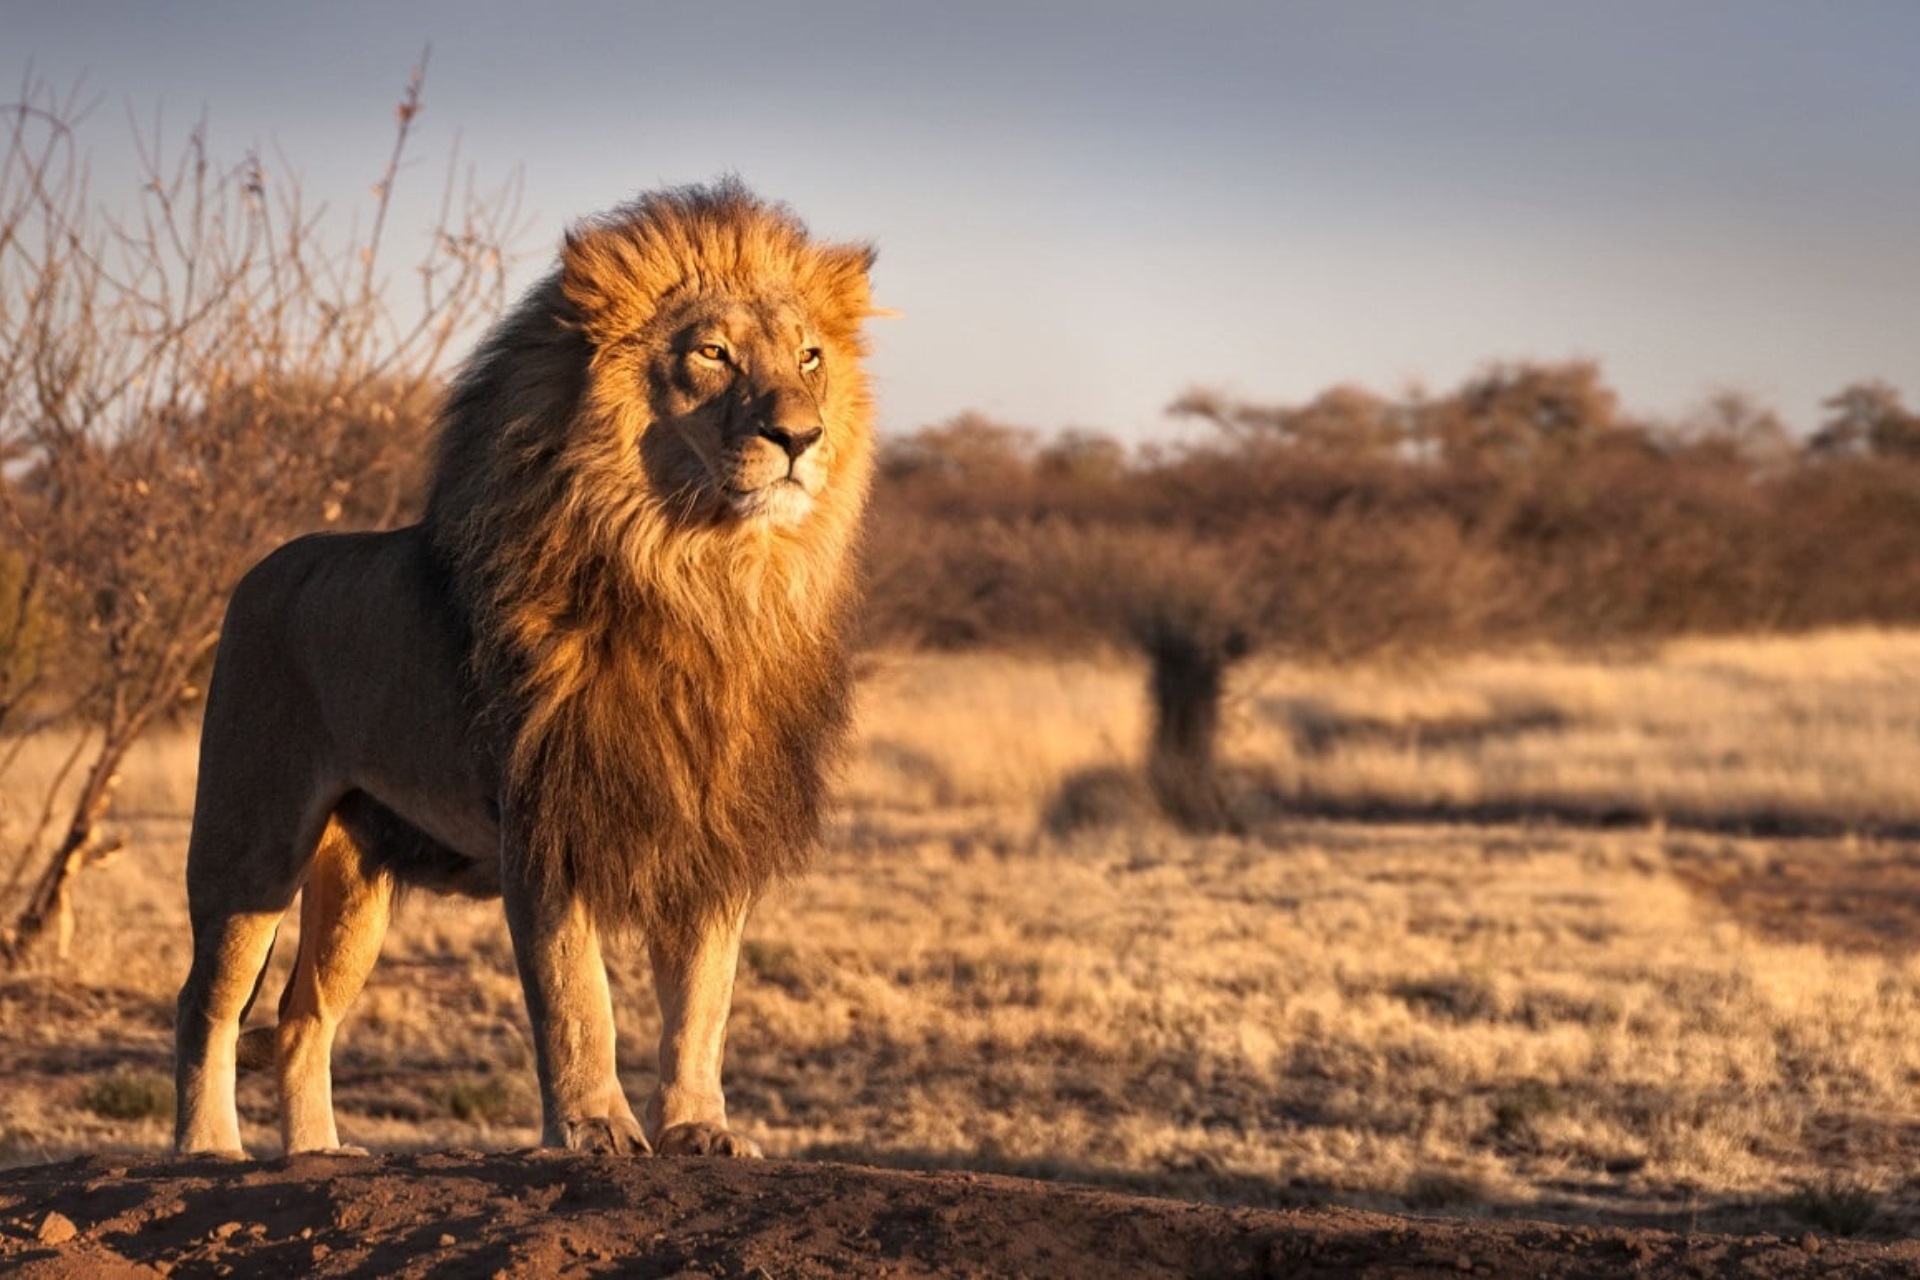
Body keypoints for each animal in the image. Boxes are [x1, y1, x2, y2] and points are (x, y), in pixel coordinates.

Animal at [173, 181, 880, 1158]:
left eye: (810, 357)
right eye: (712, 353)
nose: (800, 436)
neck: (702, 579)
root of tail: (260, 569)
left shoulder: (711, 830)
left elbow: (703, 1001)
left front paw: (699, 1128)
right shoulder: (545, 820)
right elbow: (577, 996)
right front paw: (595, 1128)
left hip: (356, 879)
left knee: (302, 1015)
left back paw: (317, 1153)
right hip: (252, 838)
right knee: (206, 1001)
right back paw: (208, 1147)